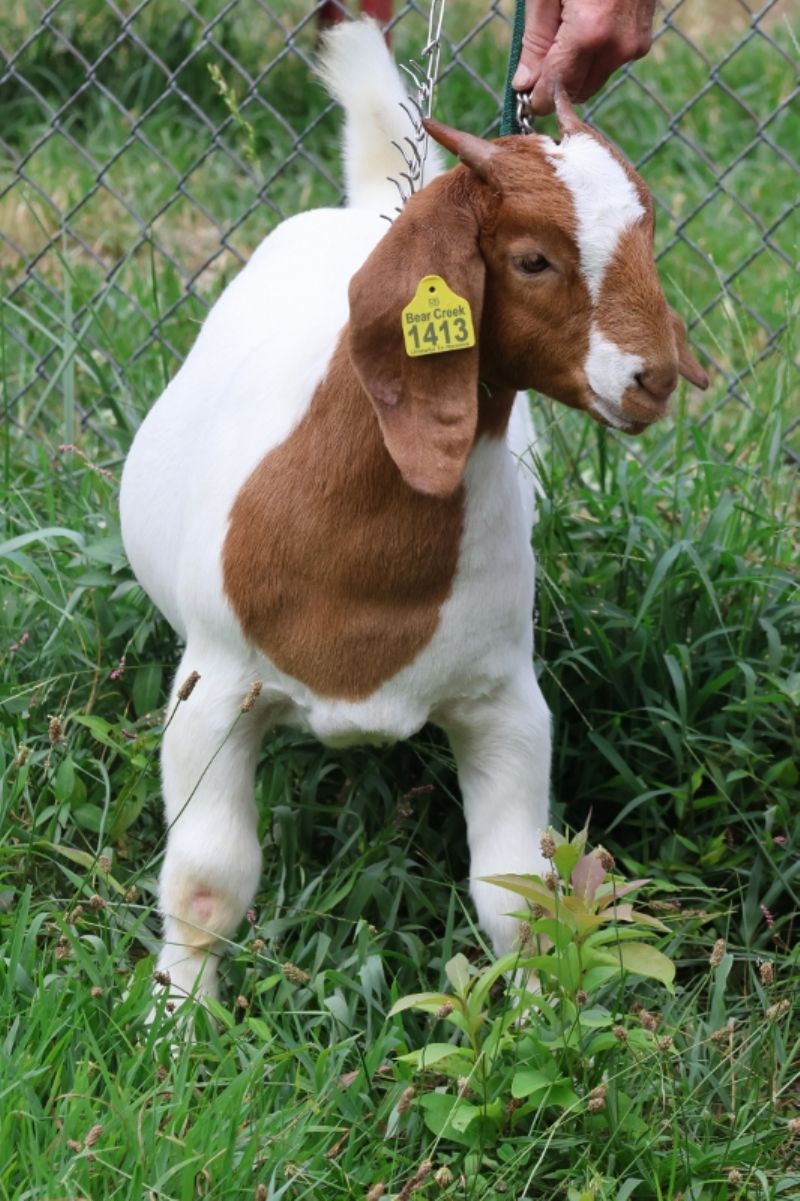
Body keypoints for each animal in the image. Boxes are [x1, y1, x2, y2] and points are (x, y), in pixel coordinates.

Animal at [120, 21, 708, 1004]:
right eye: (533, 258)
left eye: (649, 237)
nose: (653, 376)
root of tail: (371, 206)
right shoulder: (213, 687)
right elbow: (207, 881)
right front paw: (177, 1017)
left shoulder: (505, 700)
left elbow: (519, 893)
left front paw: (539, 1018)